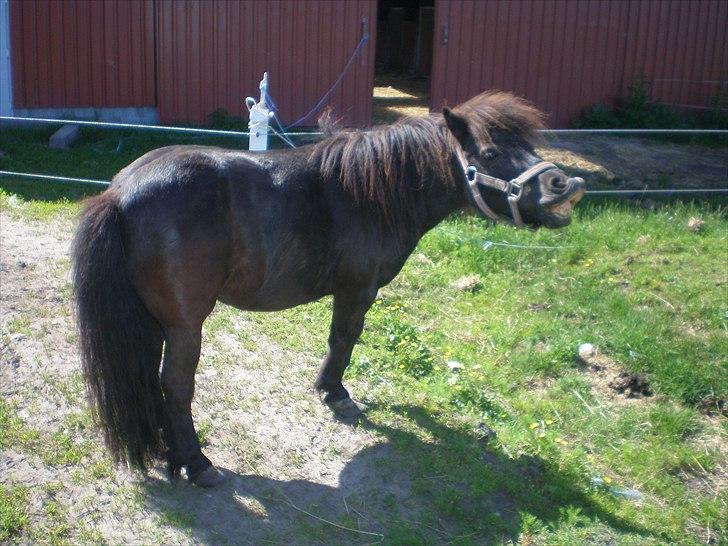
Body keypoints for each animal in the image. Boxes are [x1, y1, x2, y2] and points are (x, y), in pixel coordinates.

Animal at [72, 91, 585, 487]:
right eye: (491, 153)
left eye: (527, 143)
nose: (565, 184)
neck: (373, 192)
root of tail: (118, 193)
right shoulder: (357, 291)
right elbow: (344, 339)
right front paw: (336, 394)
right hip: (184, 325)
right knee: (176, 386)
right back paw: (197, 464)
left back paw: (171, 457)